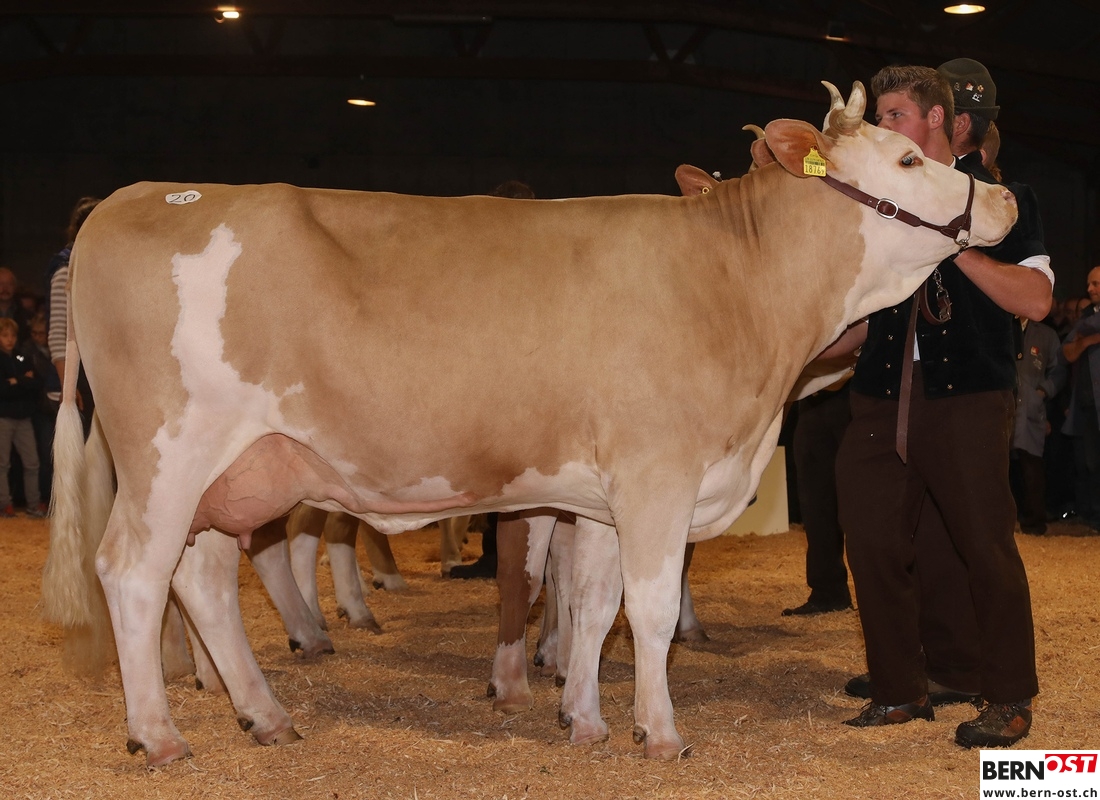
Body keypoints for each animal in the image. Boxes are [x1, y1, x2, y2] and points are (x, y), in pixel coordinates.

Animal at [41, 81, 1017, 766]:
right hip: (168, 453)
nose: (1003, 201)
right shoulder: (658, 474)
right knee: (134, 573)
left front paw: (583, 719)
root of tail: (138, 196)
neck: (731, 286)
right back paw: (160, 734)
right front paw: (659, 732)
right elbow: (647, 608)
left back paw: (264, 714)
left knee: (202, 577)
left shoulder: (601, 494)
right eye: (906, 159)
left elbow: (590, 606)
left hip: (235, 469)